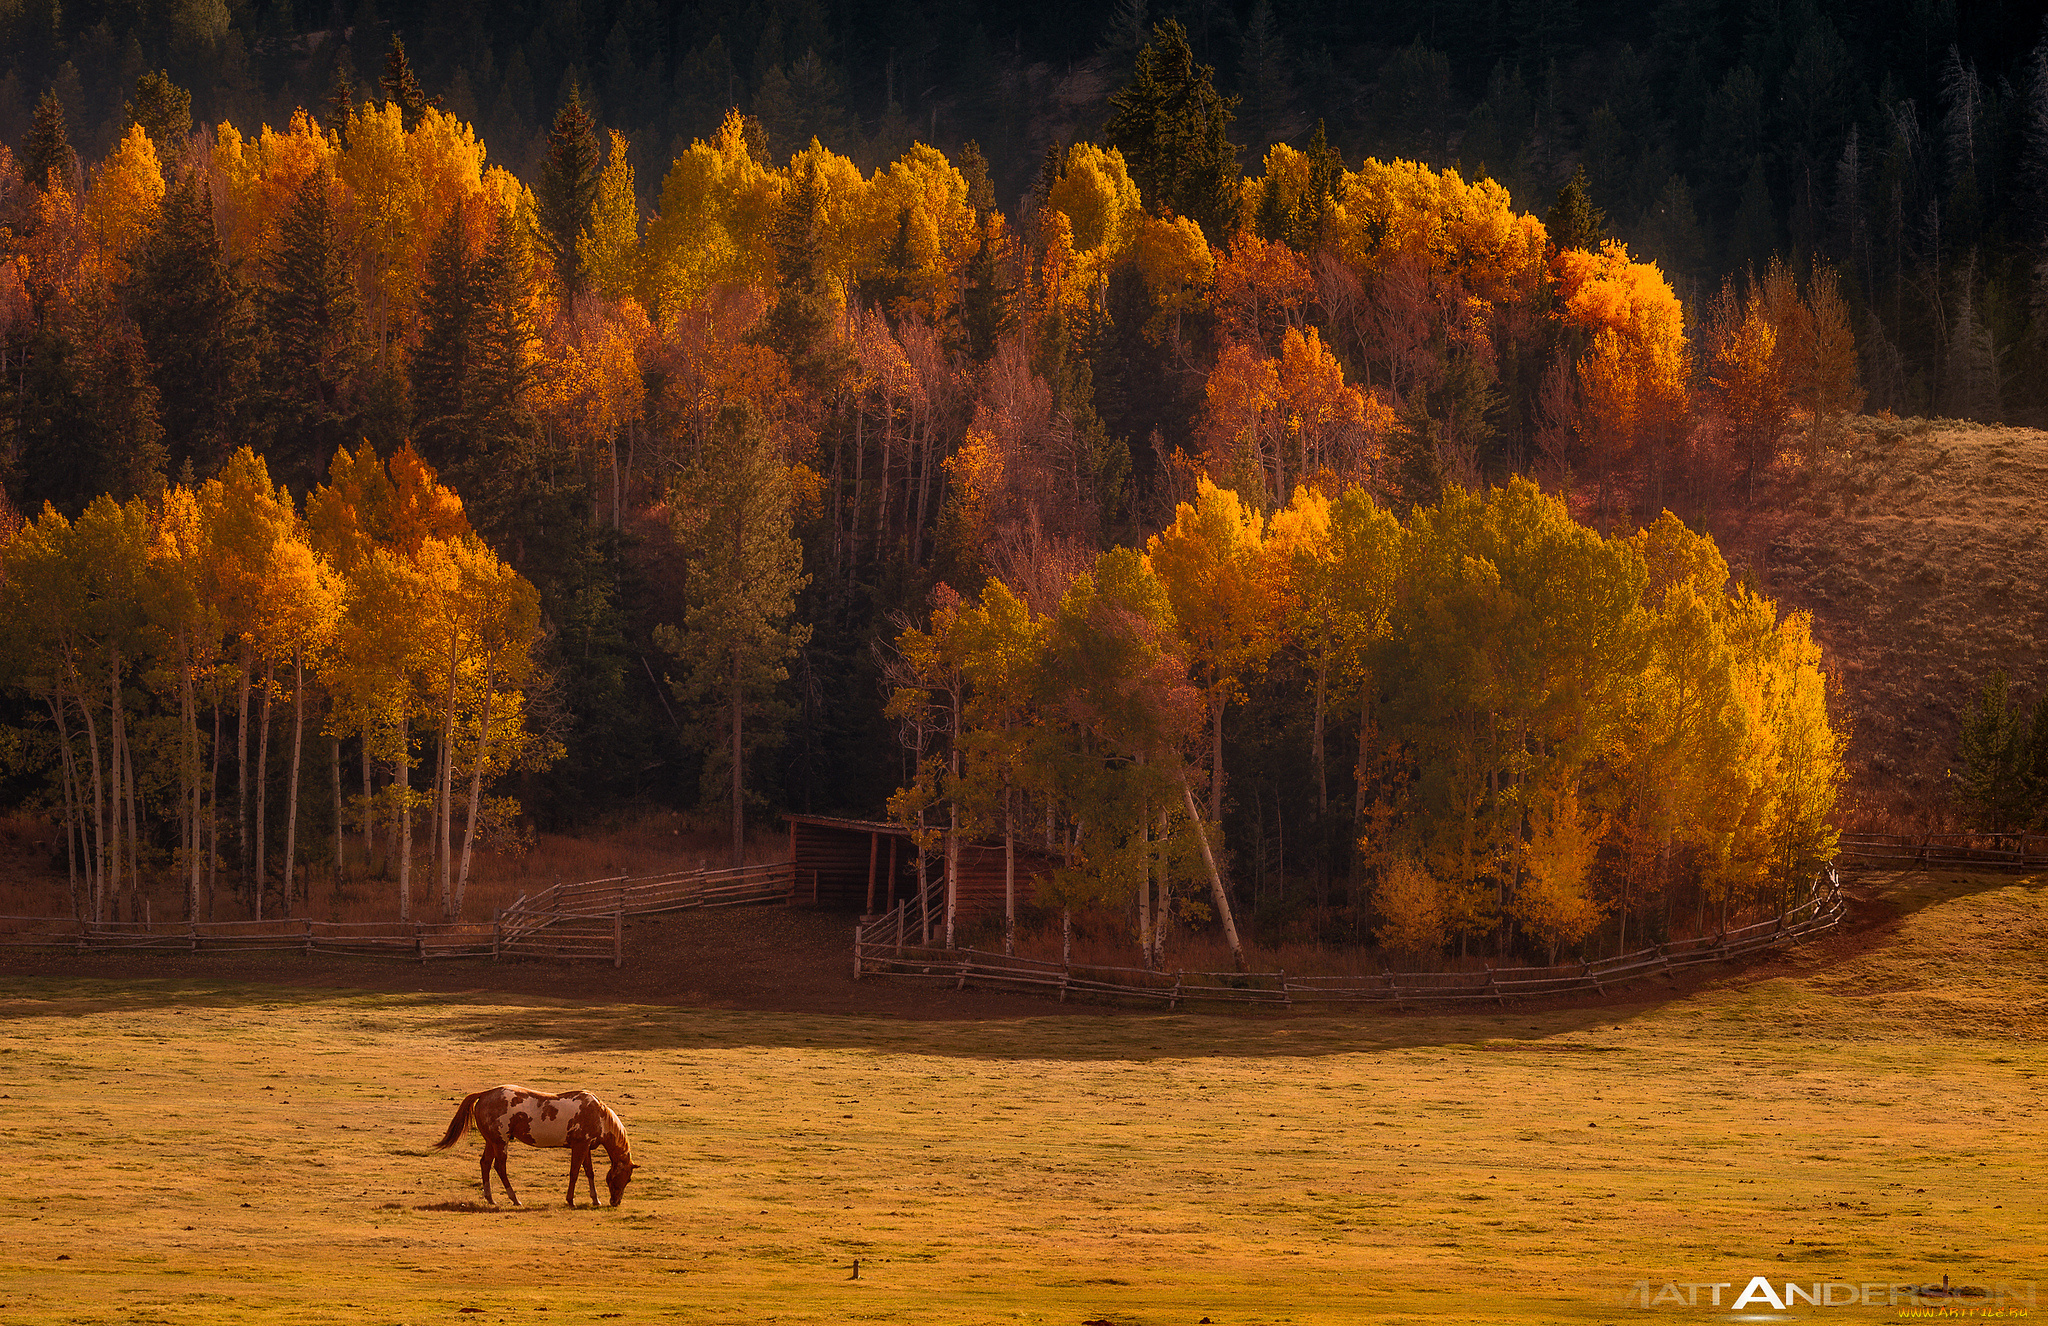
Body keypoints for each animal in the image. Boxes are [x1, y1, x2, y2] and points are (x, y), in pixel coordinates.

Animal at [425, 1082, 630, 1205]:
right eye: (626, 1179)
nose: (616, 1202)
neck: (597, 1114)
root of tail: (485, 1094)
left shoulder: (585, 1147)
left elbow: (589, 1172)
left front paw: (595, 1200)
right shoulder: (579, 1146)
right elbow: (574, 1173)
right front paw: (570, 1200)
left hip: (491, 1141)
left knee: (485, 1164)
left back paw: (490, 1198)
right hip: (500, 1142)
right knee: (500, 1167)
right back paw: (514, 1199)